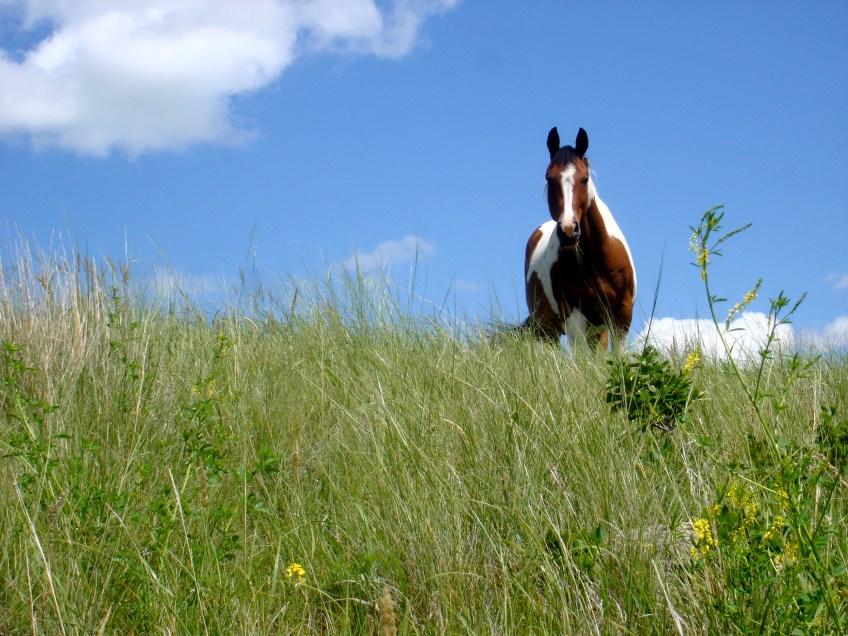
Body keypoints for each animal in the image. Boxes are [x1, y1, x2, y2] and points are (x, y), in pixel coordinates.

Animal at [523, 127, 636, 350]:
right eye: (549, 178)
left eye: (584, 178)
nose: (568, 230)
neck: (596, 262)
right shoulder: (575, 318)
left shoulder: (622, 317)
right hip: (547, 331)